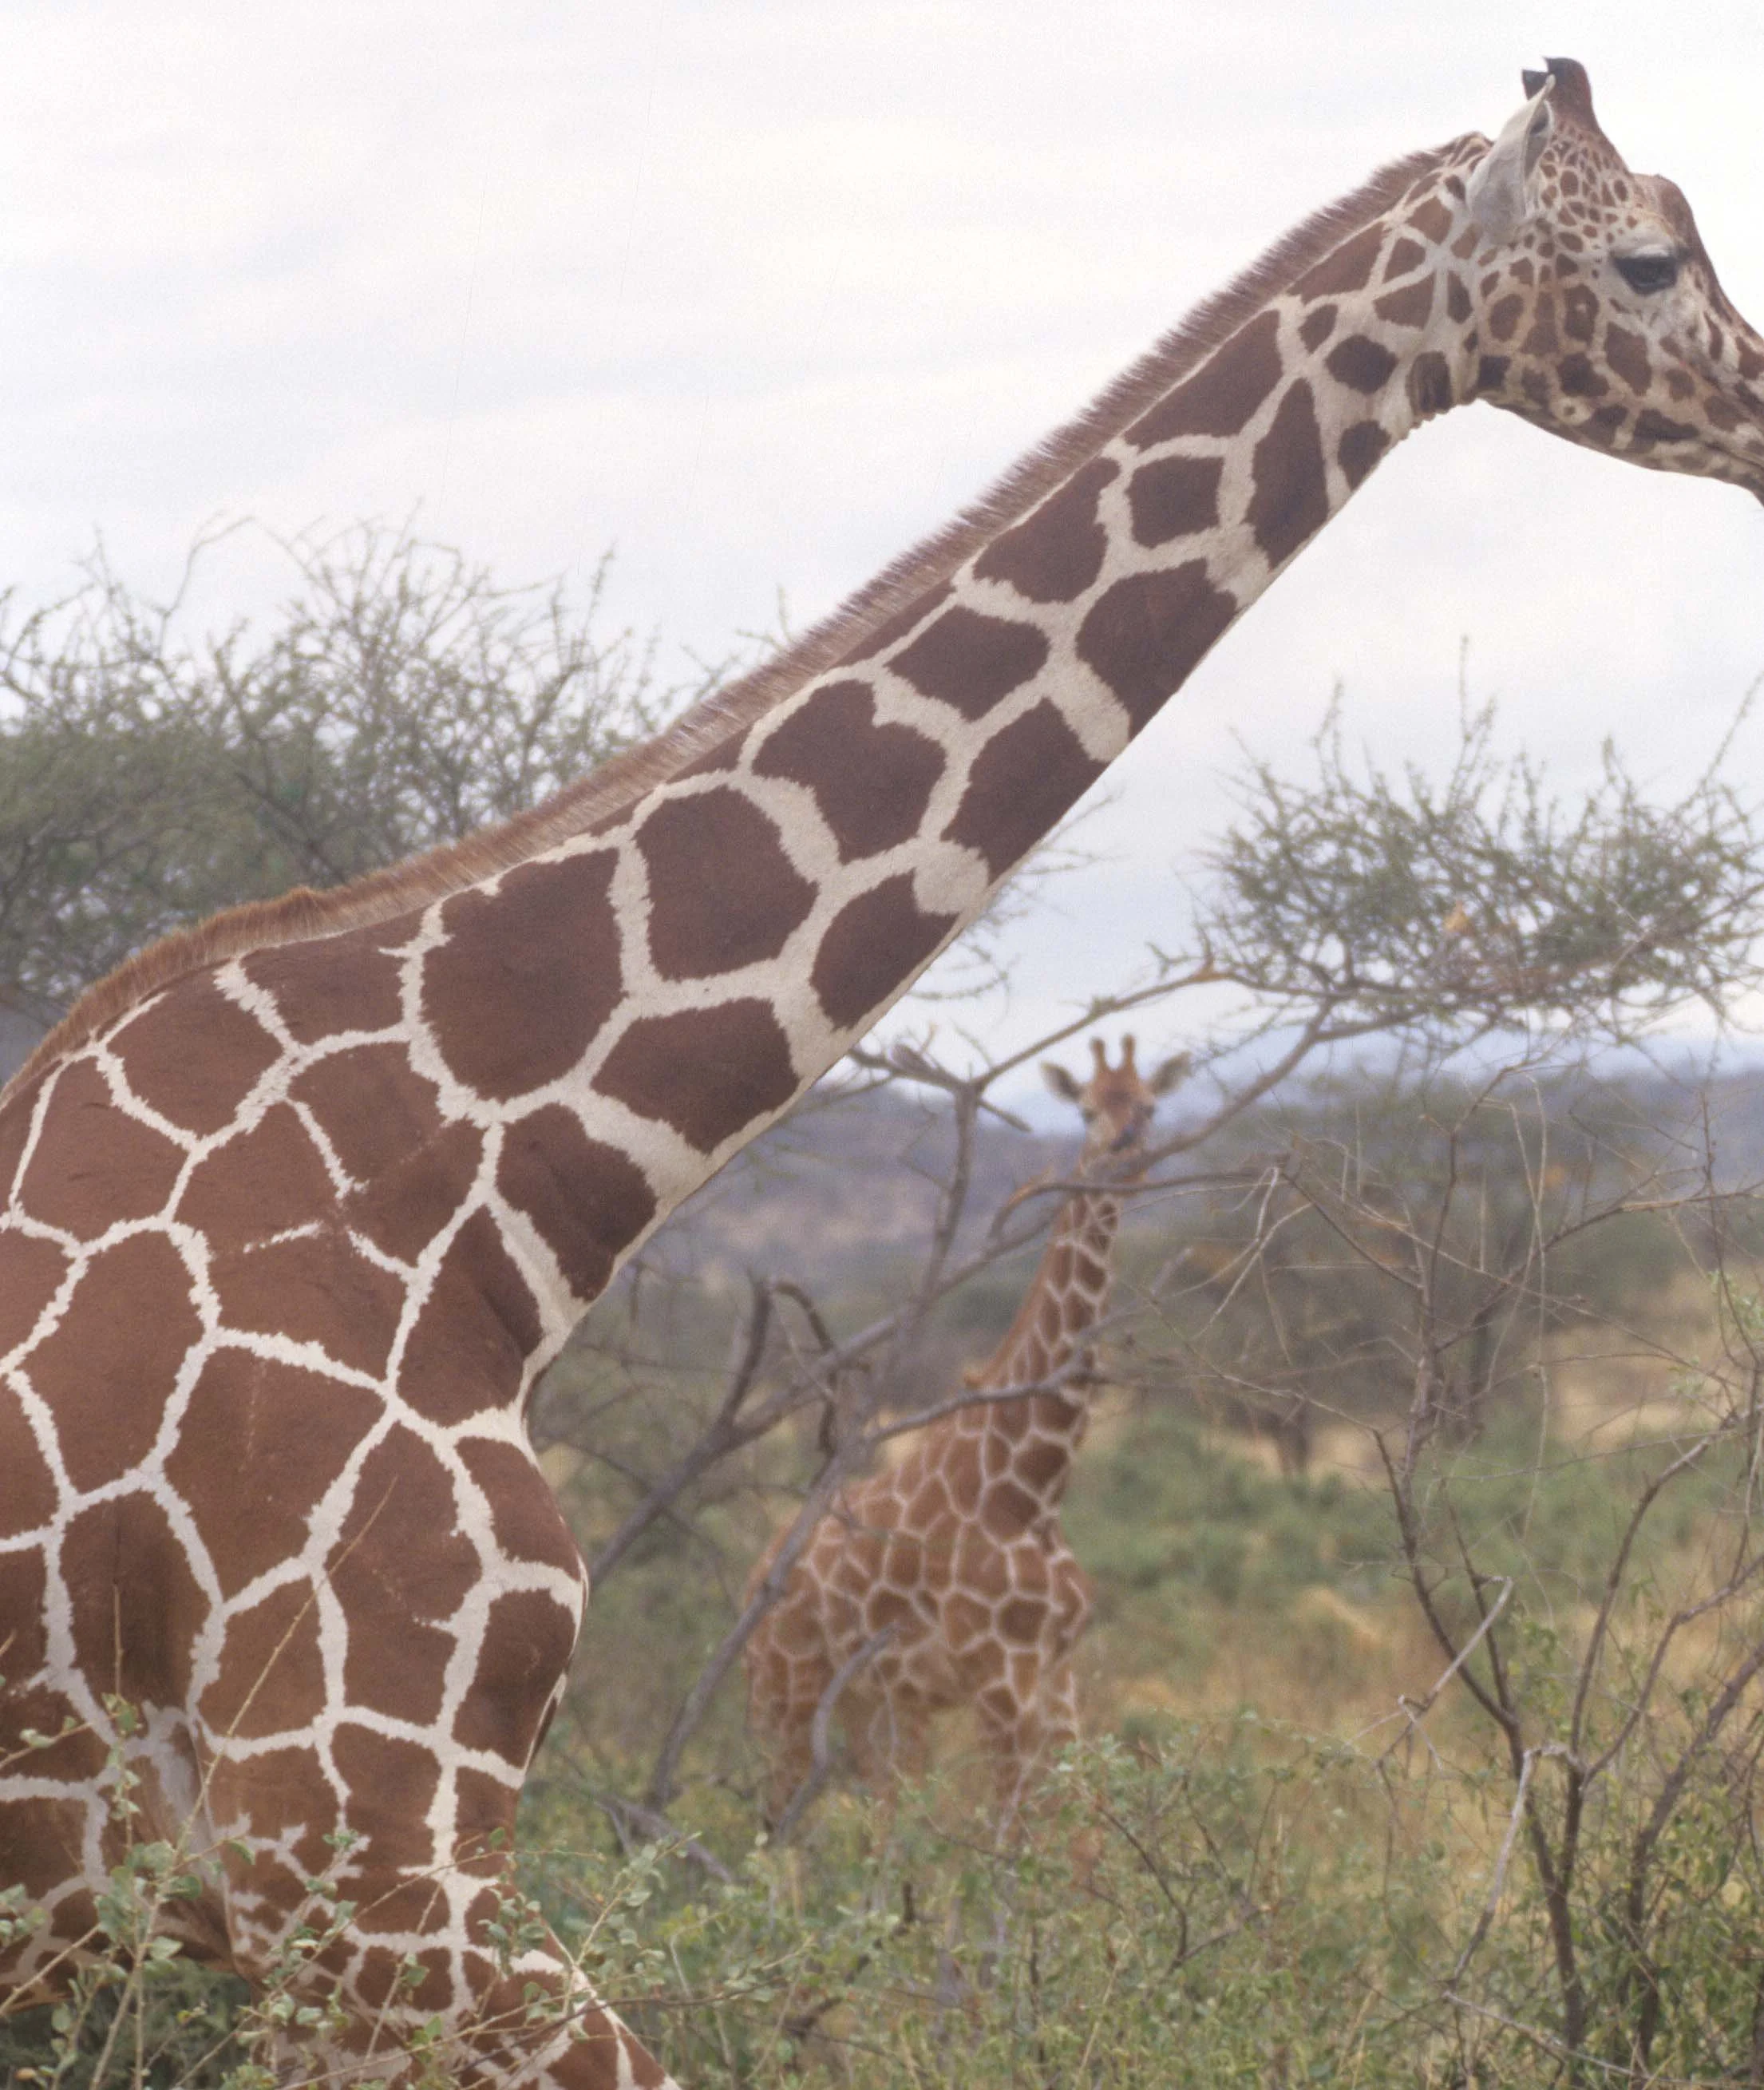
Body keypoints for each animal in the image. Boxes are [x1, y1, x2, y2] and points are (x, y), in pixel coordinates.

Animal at [744, 1037, 1186, 1826]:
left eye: (1150, 1104)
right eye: (1085, 1109)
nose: (1124, 1157)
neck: (1034, 1488)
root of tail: (749, 1588)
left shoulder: (1057, 1671)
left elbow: (1083, 1827)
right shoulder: (998, 1677)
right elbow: (1013, 1829)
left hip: (876, 1707)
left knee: (881, 1821)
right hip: (783, 1697)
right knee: (770, 1827)